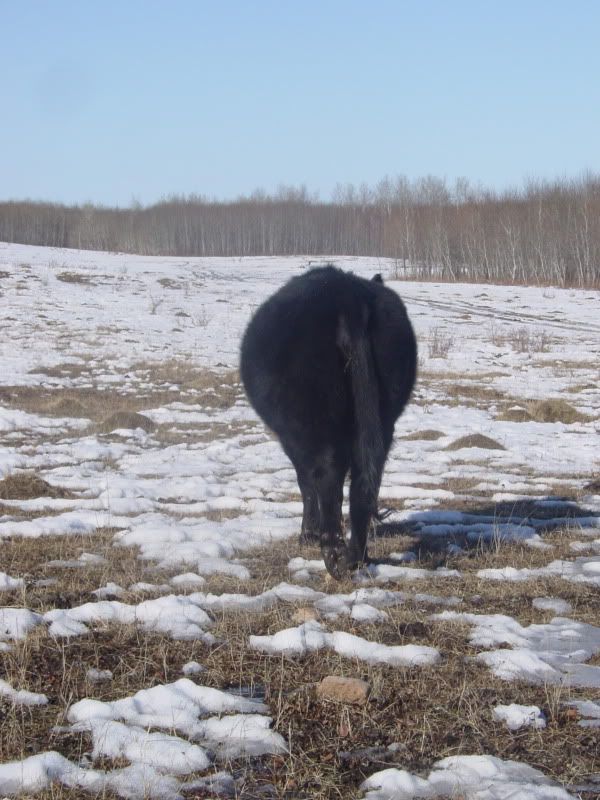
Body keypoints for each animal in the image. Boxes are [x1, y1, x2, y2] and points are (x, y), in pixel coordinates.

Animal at [240, 266, 417, 579]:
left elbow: (305, 483)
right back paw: (358, 557)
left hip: (313, 424)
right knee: (364, 482)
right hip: (383, 419)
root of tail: (347, 293)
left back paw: (333, 556)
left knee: (327, 478)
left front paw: (307, 535)